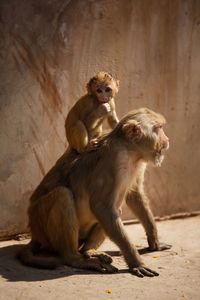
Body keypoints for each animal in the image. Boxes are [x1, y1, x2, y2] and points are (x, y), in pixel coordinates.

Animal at [18, 107, 171, 276]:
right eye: (159, 128)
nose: (167, 139)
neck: (130, 150)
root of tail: (35, 233)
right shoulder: (112, 160)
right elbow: (101, 206)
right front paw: (136, 262)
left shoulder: (139, 161)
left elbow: (134, 195)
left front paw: (154, 240)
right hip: (41, 225)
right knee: (62, 195)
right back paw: (75, 259)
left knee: (115, 208)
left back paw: (89, 251)